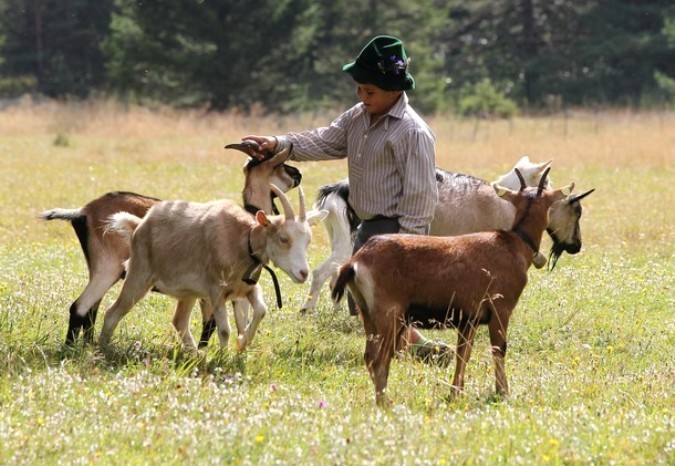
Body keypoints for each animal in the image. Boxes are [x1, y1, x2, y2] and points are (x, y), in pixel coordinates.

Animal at [38, 142, 300, 346]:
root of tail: (83, 211)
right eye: (279, 165)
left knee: (90, 310)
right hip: (109, 269)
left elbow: (234, 325)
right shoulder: (215, 292)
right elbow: (214, 326)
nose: (298, 174)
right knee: (80, 307)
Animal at [97, 184, 324, 352]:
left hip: (187, 293)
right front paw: (223, 358)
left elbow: (261, 311)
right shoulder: (217, 291)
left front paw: (242, 344)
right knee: (112, 313)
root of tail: (139, 225)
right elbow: (224, 330)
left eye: (308, 240)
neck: (243, 241)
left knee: (179, 321)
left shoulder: (247, 288)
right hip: (139, 275)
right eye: (283, 238)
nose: (303, 273)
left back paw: (195, 354)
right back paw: (103, 350)